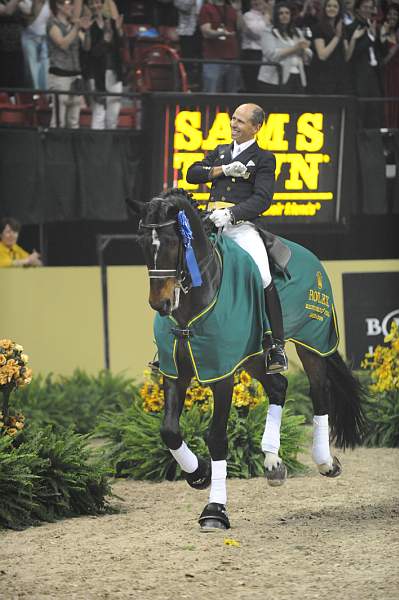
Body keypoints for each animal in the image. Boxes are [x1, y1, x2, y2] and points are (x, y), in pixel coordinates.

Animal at [130, 190, 366, 532]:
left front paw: (215, 510)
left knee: (319, 392)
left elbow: (216, 437)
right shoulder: (175, 372)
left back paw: (324, 462)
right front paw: (199, 473)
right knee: (278, 386)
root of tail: (310, 257)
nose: (160, 303)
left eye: (174, 241)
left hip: (312, 342)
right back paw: (272, 461)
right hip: (255, 357)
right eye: (142, 243)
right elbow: (169, 430)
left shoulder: (222, 374)